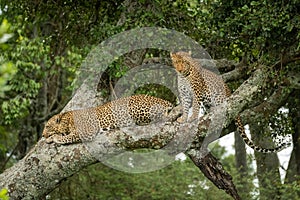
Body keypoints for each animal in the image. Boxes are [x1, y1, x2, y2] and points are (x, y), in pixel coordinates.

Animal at [42, 94, 173, 145]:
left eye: (47, 126)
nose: (42, 135)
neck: (66, 120)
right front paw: (49, 138)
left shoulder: (87, 131)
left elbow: (66, 137)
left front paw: (54, 138)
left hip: (136, 109)